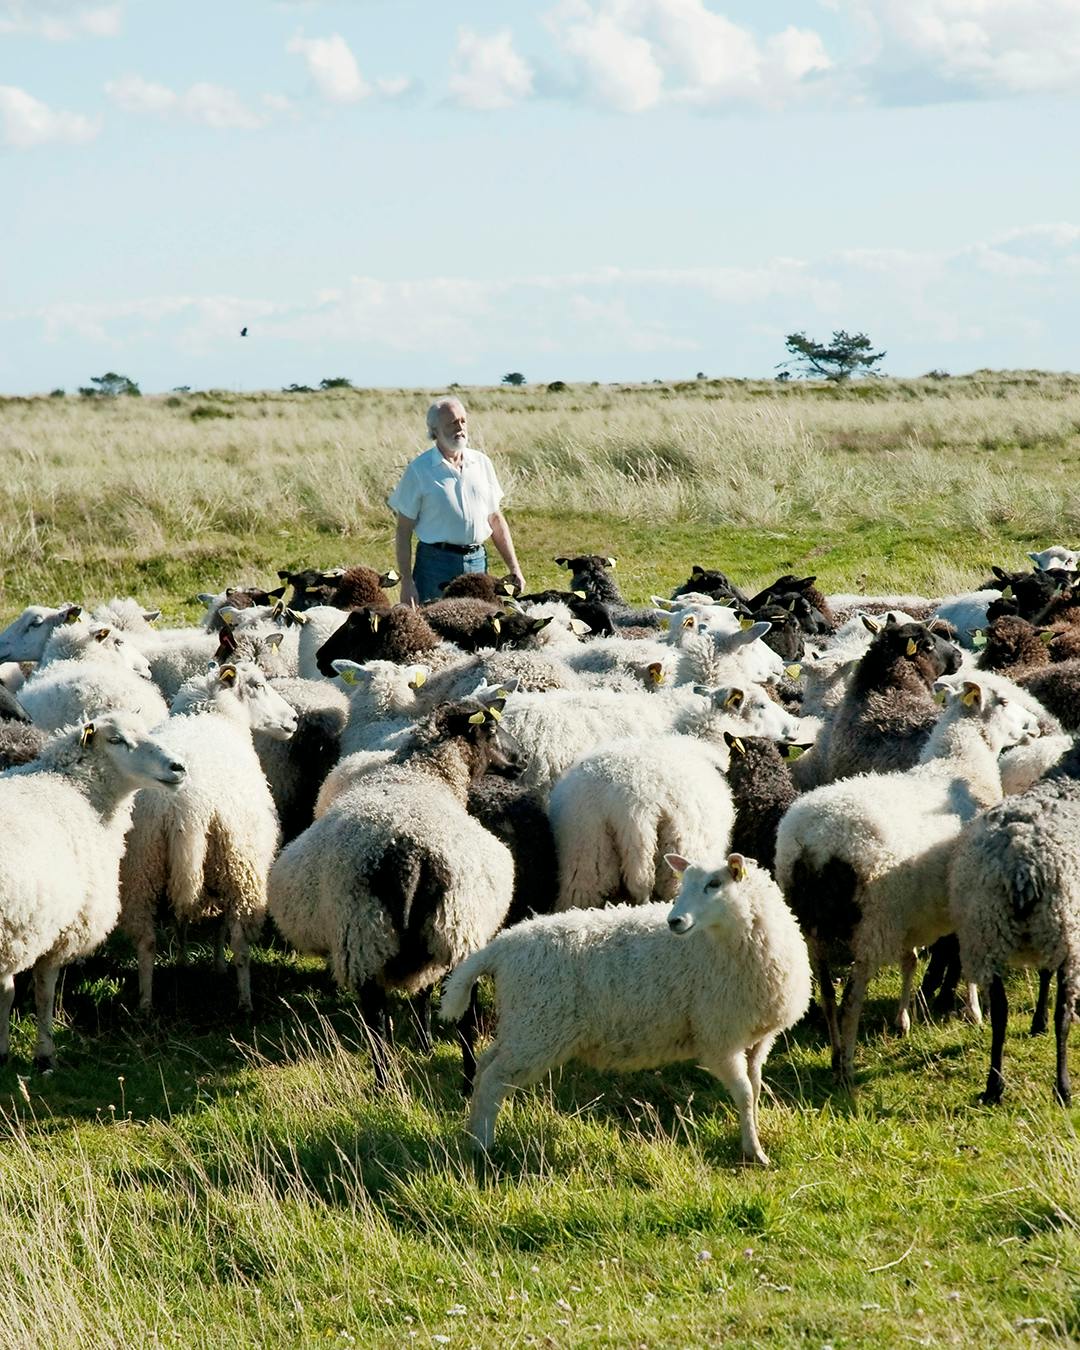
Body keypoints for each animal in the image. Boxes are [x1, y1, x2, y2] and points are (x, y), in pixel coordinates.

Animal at [0, 712, 184, 1069]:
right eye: (116, 740)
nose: (179, 767)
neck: (74, 789)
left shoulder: (17, 933)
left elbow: (7, 991)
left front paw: (1, 1052)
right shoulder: (61, 927)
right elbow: (44, 992)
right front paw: (45, 1055)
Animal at [437, 853, 810, 1161]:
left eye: (714, 884)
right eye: (685, 883)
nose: (674, 921)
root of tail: (501, 946)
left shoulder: (758, 1038)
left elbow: (755, 1090)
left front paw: (752, 1139)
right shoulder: (718, 1038)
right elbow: (744, 1093)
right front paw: (754, 1152)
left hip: (521, 1024)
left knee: (484, 1067)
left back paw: (472, 1132)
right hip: (537, 1027)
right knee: (494, 1080)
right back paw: (484, 1146)